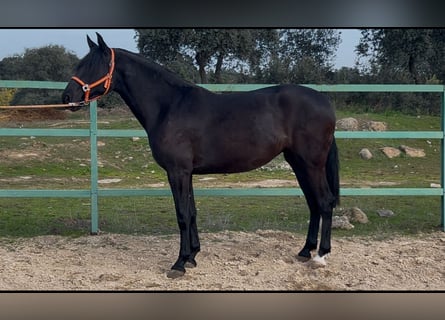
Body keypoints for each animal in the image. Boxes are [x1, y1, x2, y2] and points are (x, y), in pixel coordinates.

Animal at [62, 32, 338, 278]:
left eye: (91, 65)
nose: (67, 97)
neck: (169, 106)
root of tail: (324, 101)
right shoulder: (188, 173)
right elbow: (192, 212)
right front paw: (192, 256)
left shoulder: (177, 171)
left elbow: (182, 215)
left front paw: (179, 264)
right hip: (298, 163)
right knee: (313, 203)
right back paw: (305, 251)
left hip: (311, 164)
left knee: (324, 202)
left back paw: (321, 256)